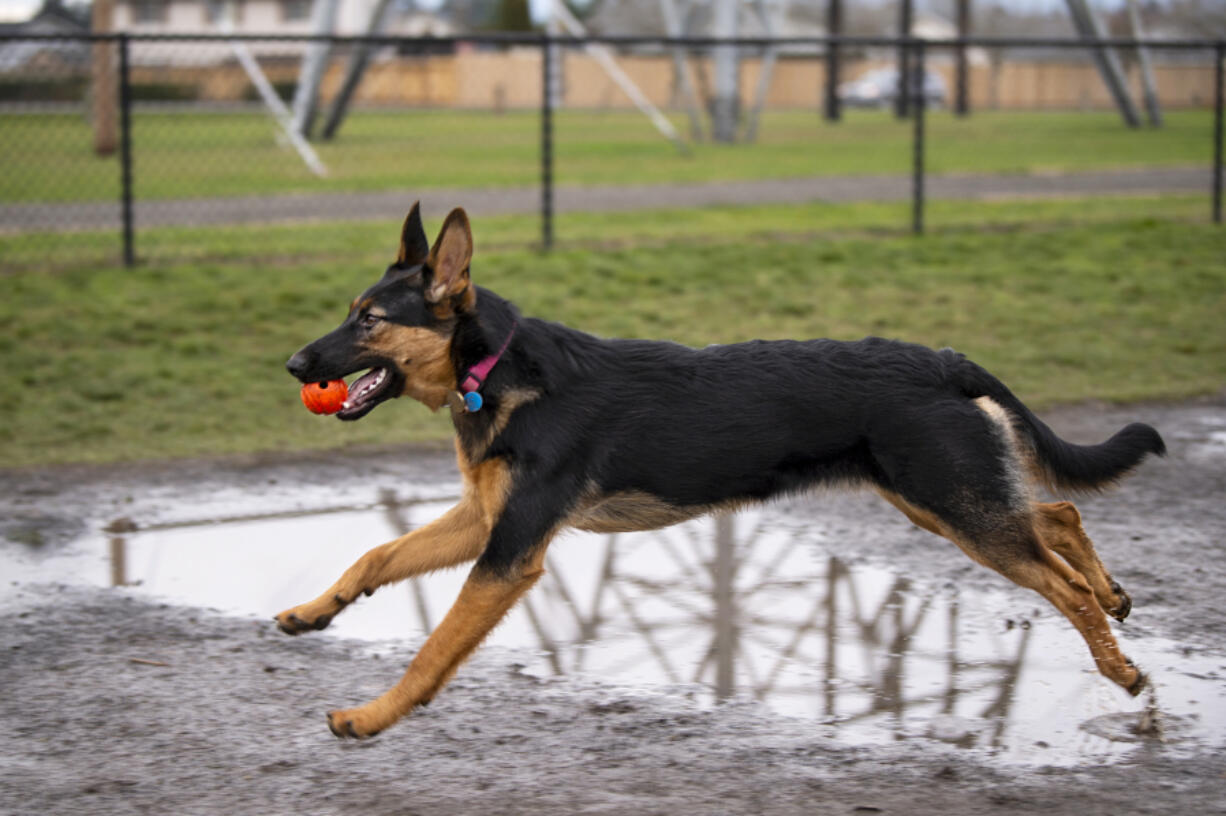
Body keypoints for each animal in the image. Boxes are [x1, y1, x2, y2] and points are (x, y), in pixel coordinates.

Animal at [280, 202, 1167, 735]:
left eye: (369, 320)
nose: (293, 365)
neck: (493, 367)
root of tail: (946, 359)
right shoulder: (484, 522)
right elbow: (376, 555)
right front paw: (314, 611)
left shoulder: (509, 554)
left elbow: (433, 649)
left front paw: (373, 716)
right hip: (940, 500)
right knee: (1057, 516)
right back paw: (1115, 596)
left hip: (955, 508)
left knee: (1061, 579)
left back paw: (1120, 669)